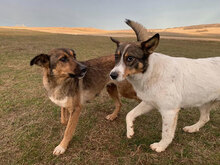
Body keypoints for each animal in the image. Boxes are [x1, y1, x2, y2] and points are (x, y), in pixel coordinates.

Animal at [110, 20, 220, 153]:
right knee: (205, 118)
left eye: (130, 58)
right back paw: (193, 128)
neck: (150, 72)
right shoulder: (149, 102)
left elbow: (166, 132)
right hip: (204, 101)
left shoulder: (169, 111)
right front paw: (130, 130)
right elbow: (129, 114)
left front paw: (161, 146)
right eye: (116, 57)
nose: (112, 75)